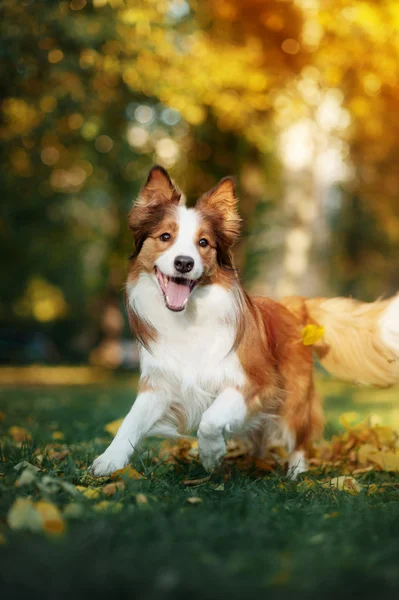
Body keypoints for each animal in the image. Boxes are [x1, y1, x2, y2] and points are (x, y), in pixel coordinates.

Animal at [90, 166, 399, 480]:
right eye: (165, 236)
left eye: (203, 243)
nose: (184, 263)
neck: (189, 318)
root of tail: (291, 305)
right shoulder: (160, 383)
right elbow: (131, 420)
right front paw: (109, 460)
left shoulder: (257, 382)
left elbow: (210, 419)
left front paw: (211, 454)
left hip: (294, 396)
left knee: (299, 437)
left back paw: (296, 472)